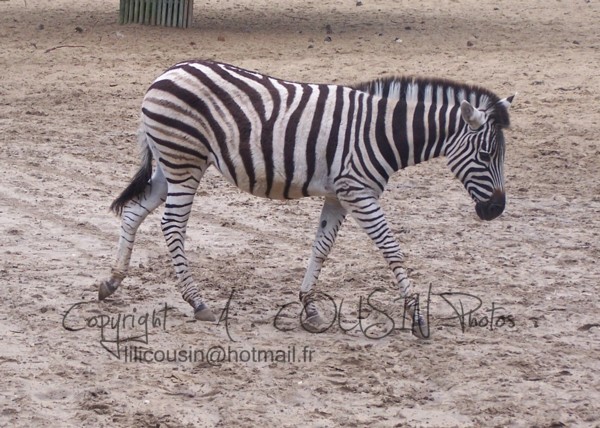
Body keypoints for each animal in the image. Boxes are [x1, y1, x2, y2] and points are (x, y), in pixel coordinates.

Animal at [97, 60, 510, 340]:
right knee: (172, 225)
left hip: (171, 164)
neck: (382, 132)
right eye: (486, 155)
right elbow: (391, 249)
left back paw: (112, 281)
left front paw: (309, 307)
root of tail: (167, 71)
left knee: (134, 211)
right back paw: (198, 302)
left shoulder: (339, 195)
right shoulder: (359, 192)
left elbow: (321, 248)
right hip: (185, 161)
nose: (497, 210)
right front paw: (418, 319)